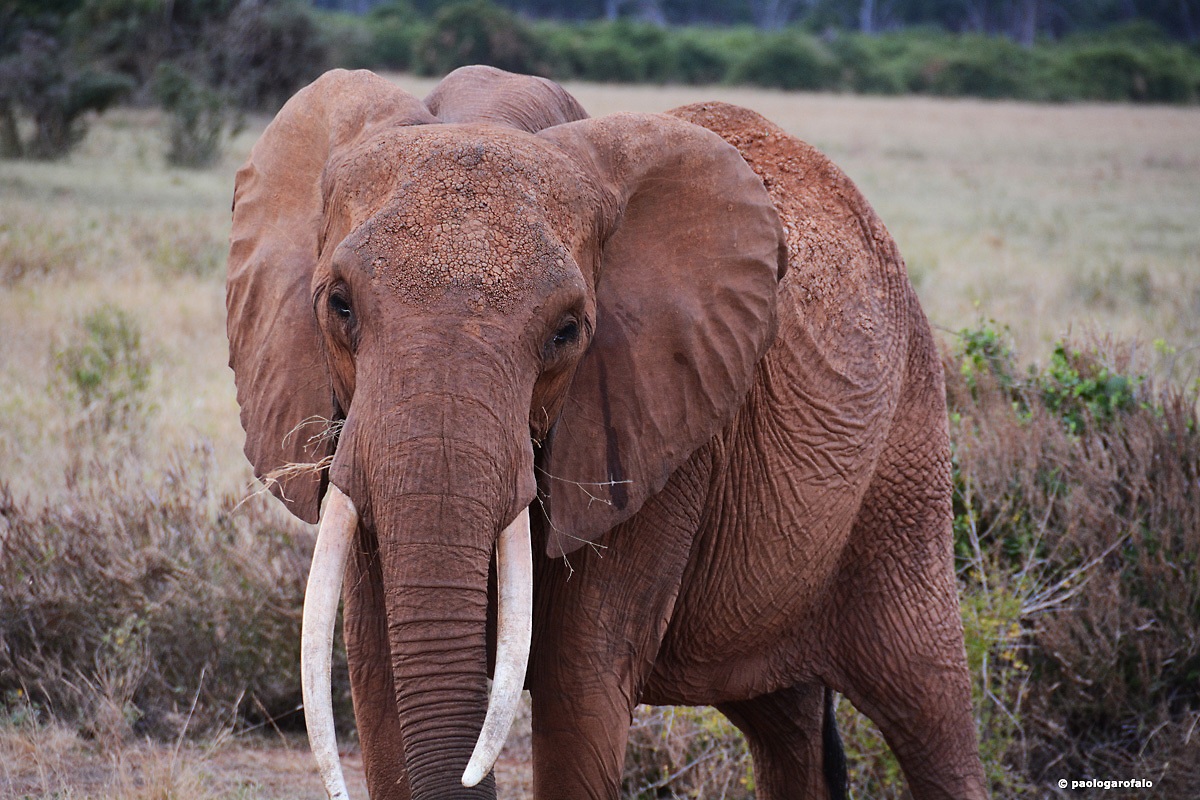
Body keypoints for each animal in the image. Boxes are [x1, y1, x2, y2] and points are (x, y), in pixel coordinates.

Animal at [225, 65, 988, 800]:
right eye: (340, 305)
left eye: (567, 331)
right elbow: (381, 685)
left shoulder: (653, 435)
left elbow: (579, 689)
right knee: (786, 728)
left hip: (906, 456)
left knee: (929, 707)